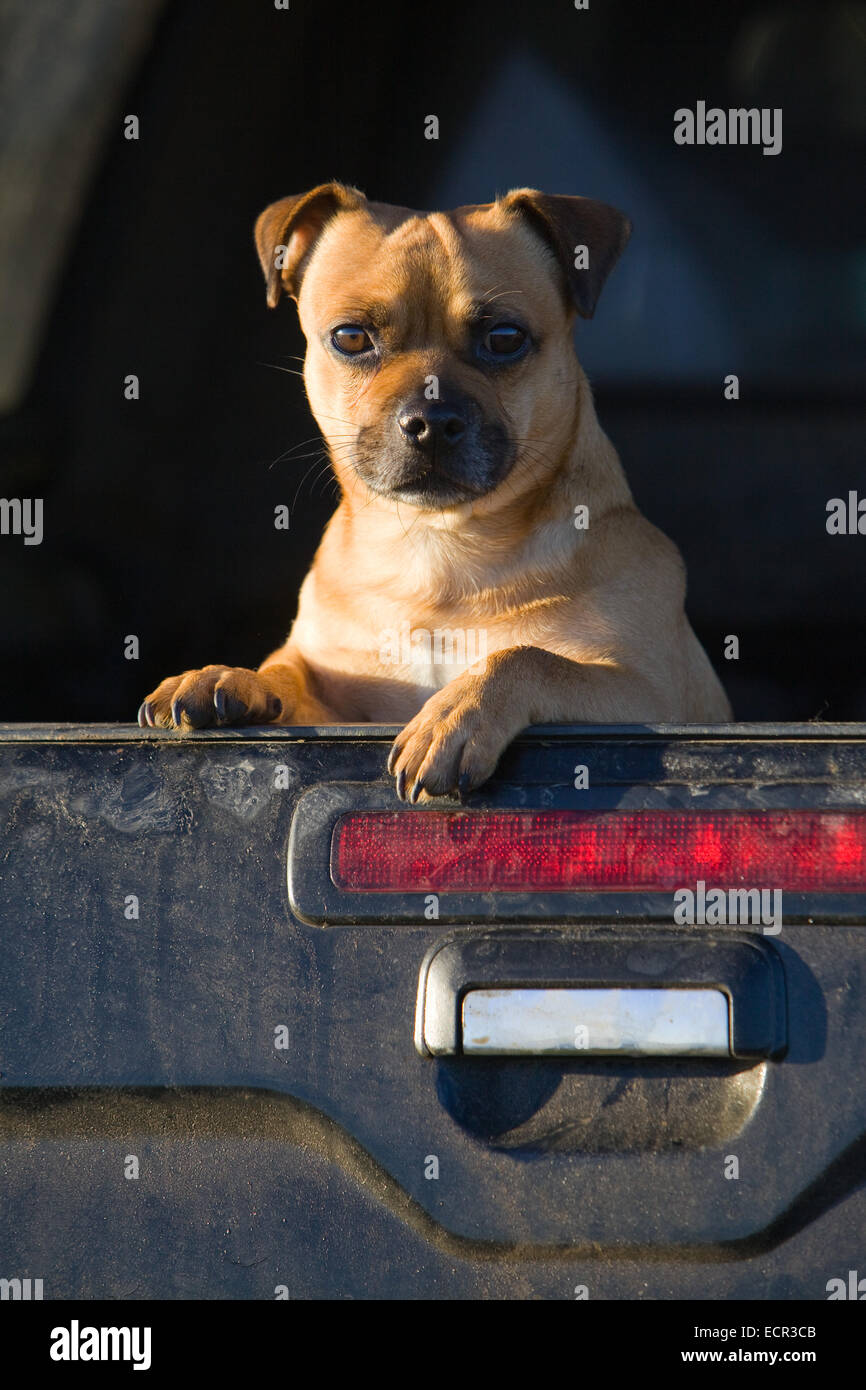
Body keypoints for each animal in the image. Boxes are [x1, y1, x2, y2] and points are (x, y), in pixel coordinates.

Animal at [139, 179, 733, 800]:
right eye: (350, 338)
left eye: (505, 338)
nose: (430, 419)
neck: (437, 547)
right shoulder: (333, 694)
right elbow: (283, 669)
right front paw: (224, 674)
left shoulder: (649, 694)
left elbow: (528, 657)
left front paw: (455, 715)